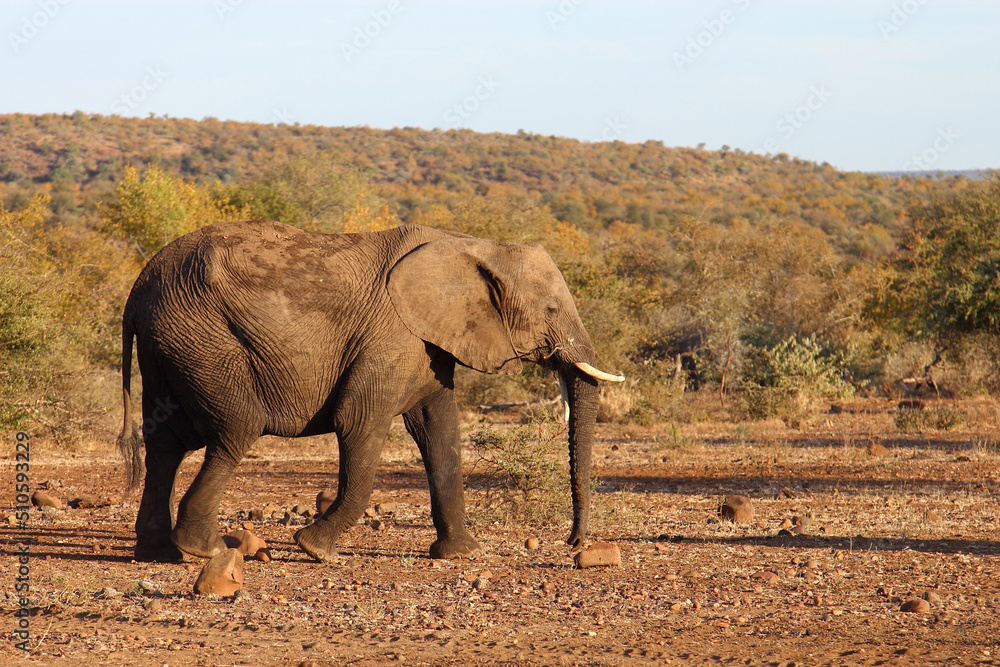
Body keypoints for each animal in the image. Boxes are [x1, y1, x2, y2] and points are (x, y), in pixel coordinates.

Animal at [116, 220, 624, 563]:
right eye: (551, 309)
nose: (573, 543)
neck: (469, 243)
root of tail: (138, 290)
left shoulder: (426, 342)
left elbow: (439, 430)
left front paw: (460, 554)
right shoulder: (391, 335)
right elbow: (359, 422)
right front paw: (315, 550)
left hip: (171, 346)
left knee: (165, 444)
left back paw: (159, 553)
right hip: (205, 339)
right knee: (235, 430)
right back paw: (203, 549)